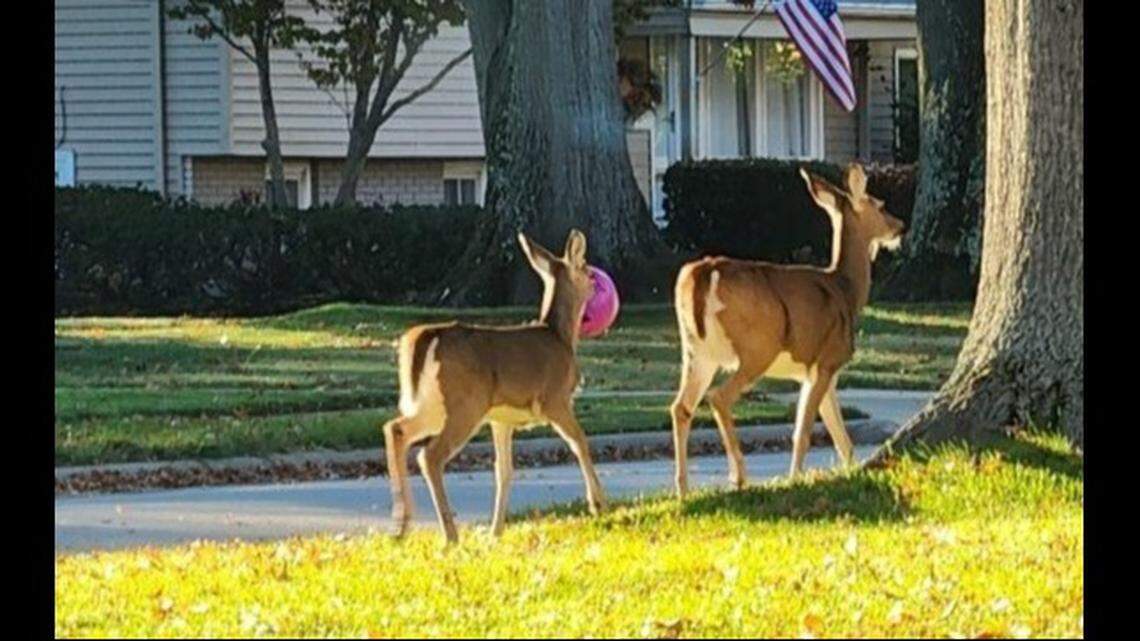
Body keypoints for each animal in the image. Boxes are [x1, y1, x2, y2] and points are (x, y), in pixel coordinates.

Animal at [381, 229, 607, 543]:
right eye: (587, 271)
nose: (597, 284)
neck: (560, 336)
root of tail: (424, 338)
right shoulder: (555, 399)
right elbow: (580, 442)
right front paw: (598, 504)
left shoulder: (501, 418)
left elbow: (504, 470)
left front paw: (495, 531)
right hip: (465, 404)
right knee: (430, 455)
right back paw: (449, 534)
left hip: (433, 404)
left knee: (396, 428)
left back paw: (401, 525)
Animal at [669, 164, 905, 498]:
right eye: (881, 205)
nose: (901, 226)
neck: (846, 289)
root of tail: (704, 272)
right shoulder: (827, 360)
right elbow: (803, 431)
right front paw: (795, 478)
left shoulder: (820, 371)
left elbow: (841, 437)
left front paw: (849, 471)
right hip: (757, 348)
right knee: (718, 398)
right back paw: (738, 476)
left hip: (696, 352)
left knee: (681, 407)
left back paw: (683, 488)